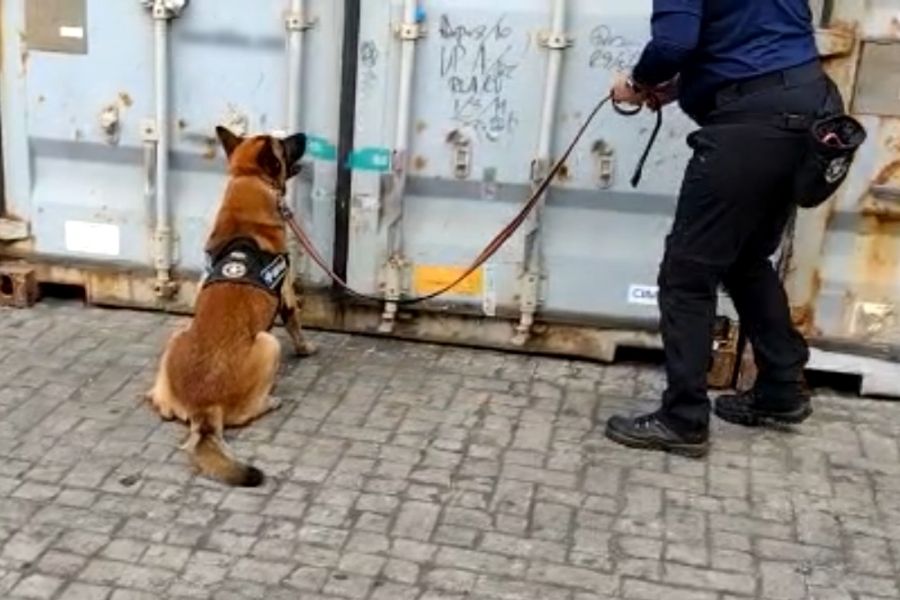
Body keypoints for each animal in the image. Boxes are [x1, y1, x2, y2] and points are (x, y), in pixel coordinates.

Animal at [149, 126, 316, 488]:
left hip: (178, 333)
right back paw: (271, 401)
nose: (304, 135)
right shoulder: (286, 295)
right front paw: (307, 348)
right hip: (268, 344)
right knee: (244, 414)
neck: (247, 179)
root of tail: (204, 407)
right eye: (284, 145)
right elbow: (296, 324)